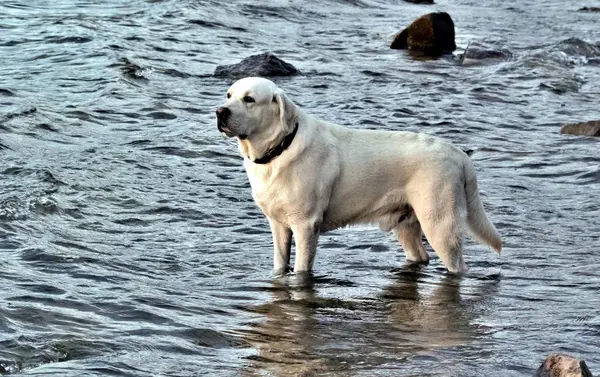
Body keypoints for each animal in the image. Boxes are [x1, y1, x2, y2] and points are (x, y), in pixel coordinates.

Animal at [216, 76, 502, 276]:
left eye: (249, 99)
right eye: (229, 95)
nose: (220, 112)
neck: (279, 148)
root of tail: (459, 153)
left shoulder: (306, 225)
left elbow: (301, 270)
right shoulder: (278, 225)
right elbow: (280, 264)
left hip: (440, 224)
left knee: (457, 266)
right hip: (406, 224)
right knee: (420, 256)